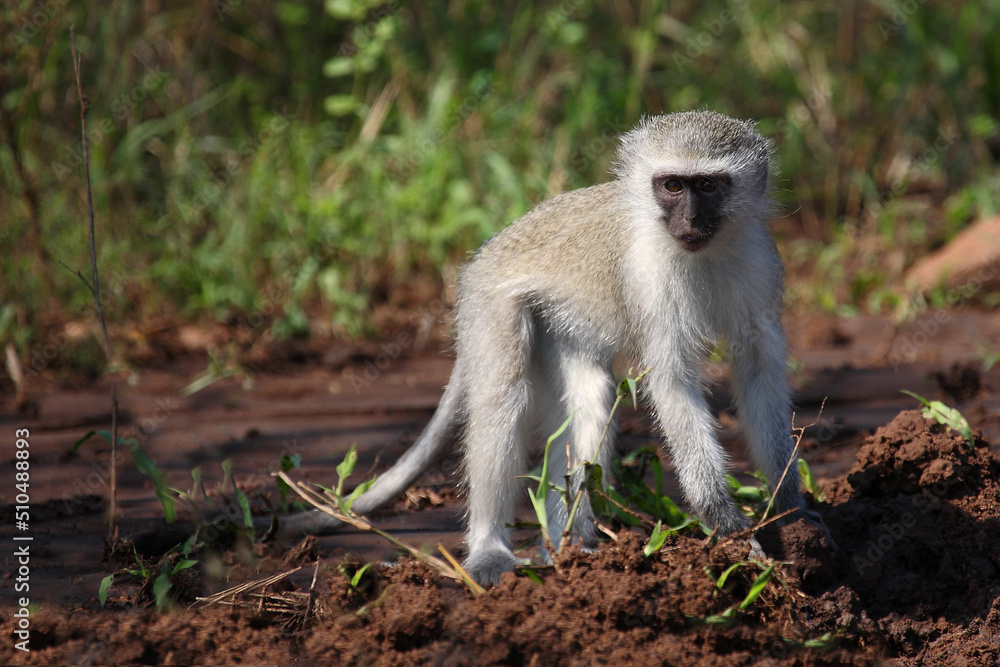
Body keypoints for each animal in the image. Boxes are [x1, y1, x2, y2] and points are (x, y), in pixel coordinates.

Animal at [283, 110, 806, 586]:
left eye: (709, 187)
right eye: (673, 186)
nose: (691, 219)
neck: (706, 252)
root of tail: (486, 252)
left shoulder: (761, 260)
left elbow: (758, 370)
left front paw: (792, 505)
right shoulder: (651, 278)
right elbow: (673, 382)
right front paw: (727, 523)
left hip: (564, 323)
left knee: (590, 399)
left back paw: (568, 542)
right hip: (490, 303)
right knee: (503, 399)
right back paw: (491, 549)